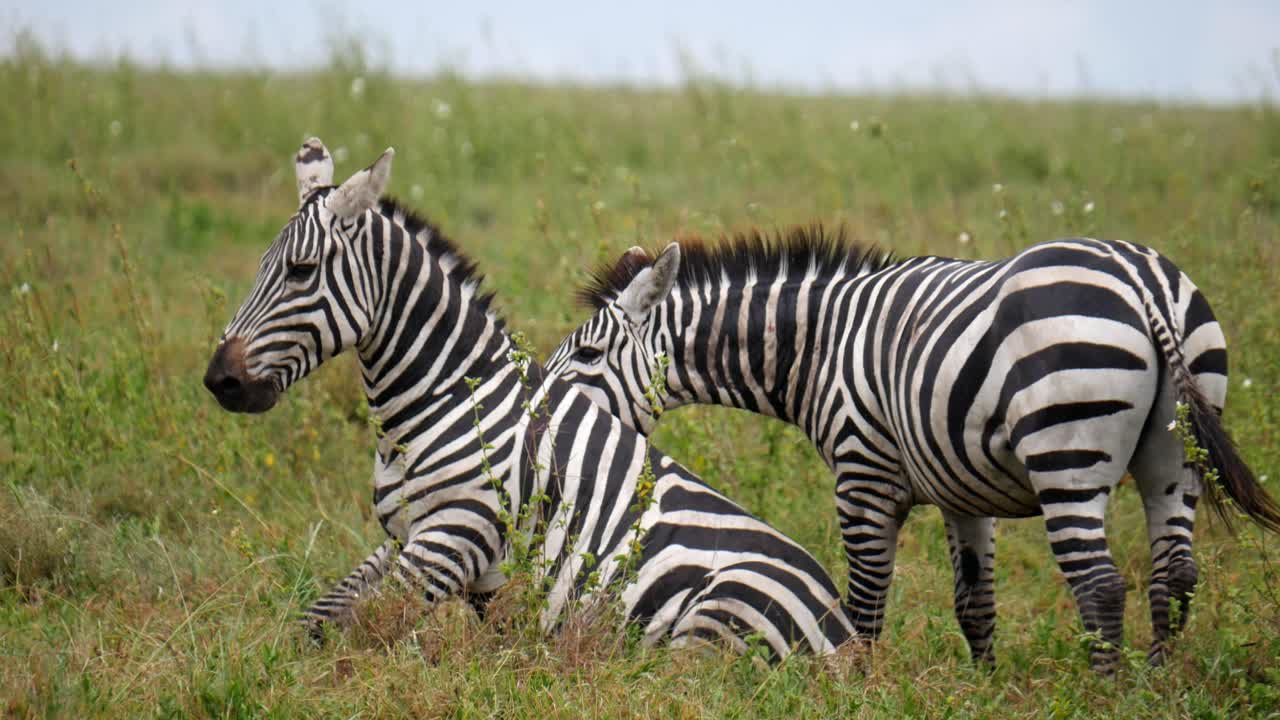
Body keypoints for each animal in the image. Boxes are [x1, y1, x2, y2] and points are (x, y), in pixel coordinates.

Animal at [202, 140, 857, 660]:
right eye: (262, 266)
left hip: (719, 612)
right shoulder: (404, 535)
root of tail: (846, 634)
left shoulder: (453, 535)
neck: (443, 398)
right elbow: (318, 619)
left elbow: (361, 634)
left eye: (301, 271)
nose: (220, 381)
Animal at [545, 225, 1280, 672]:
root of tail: (1142, 281)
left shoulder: (863, 475)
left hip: (1065, 453)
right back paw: (1155, 682)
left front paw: (854, 687)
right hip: (1175, 455)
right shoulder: (963, 493)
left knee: (1100, 584)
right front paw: (984, 690)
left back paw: (1110, 694)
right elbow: (975, 604)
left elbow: (865, 602)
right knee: (1174, 576)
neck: (817, 348)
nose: (541, 405)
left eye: (586, 354)